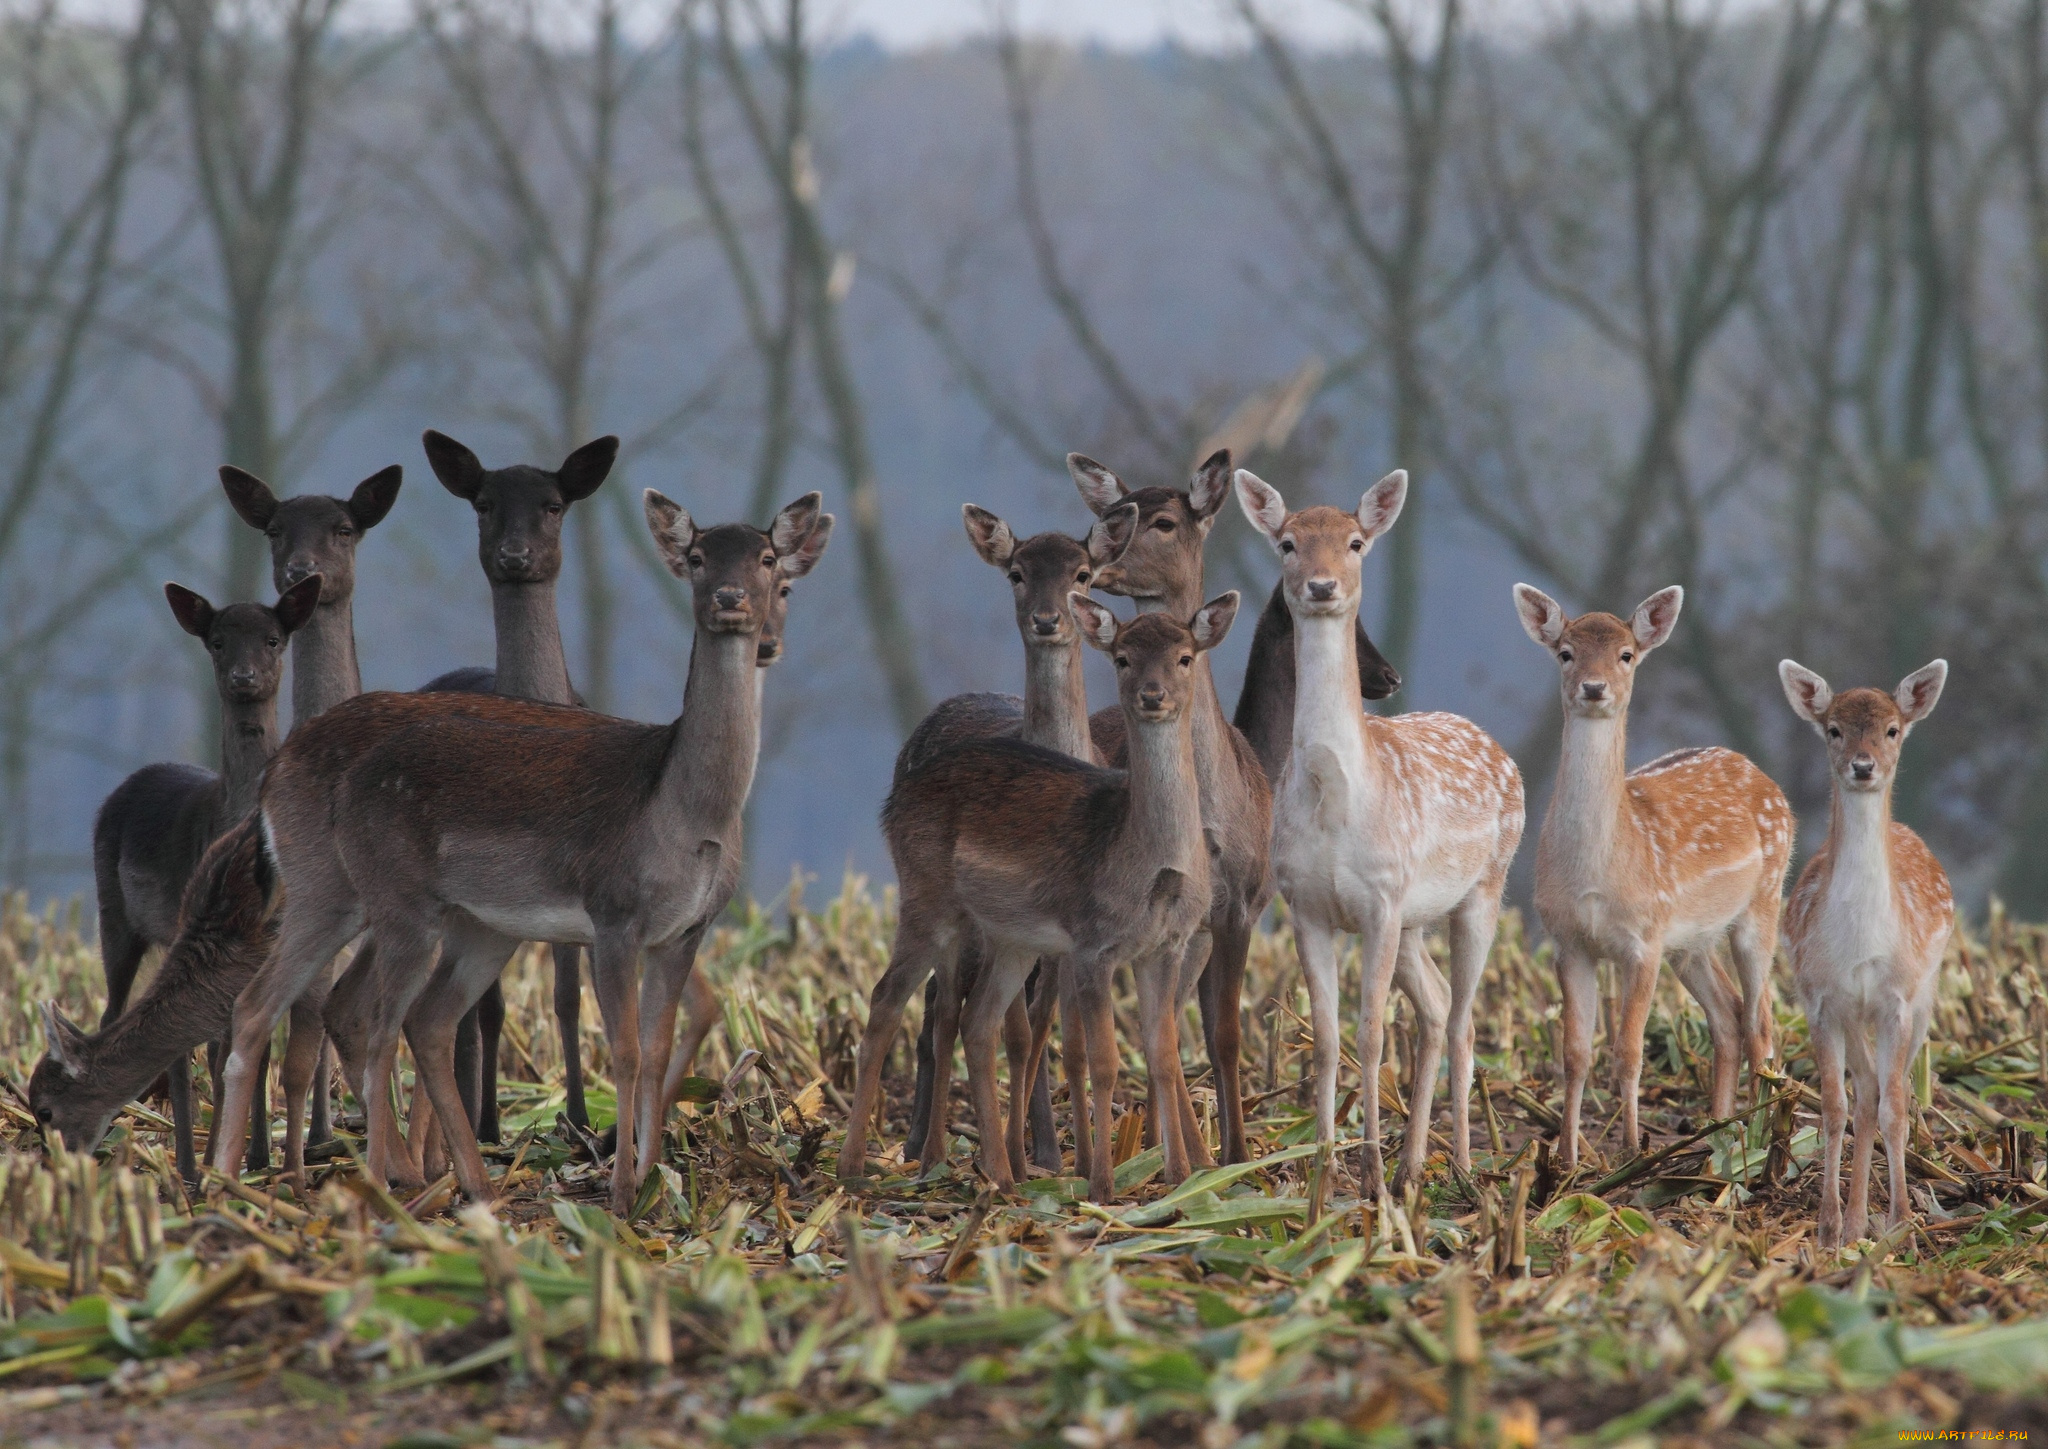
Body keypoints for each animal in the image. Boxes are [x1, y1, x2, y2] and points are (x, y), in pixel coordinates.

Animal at [201, 493, 823, 1219]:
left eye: (769, 560)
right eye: (697, 557)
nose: (730, 600)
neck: (684, 812)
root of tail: (276, 775)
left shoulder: (686, 930)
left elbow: (661, 1042)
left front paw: (655, 1182)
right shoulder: (613, 912)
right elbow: (625, 1050)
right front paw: (619, 1191)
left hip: (466, 923)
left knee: (412, 1018)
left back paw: (460, 1182)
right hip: (374, 895)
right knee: (329, 1014)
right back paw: (301, 1181)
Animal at [839, 589, 1236, 1203]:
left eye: (1185, 656)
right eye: (1123, 657)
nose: (1152, 695)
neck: (1150, 863)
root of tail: (893, 798)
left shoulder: (1164, 947)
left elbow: (1164, 1056)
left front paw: (1178, 1180)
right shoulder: (1094, 944)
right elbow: (1104, 1060)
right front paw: (1101, 1185)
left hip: (1012, 938)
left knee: (978, 1021)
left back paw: (1002, 1175)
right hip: (927, 899)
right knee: (885, 1001)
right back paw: (855, 1167)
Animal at [1228, 470, 1523, 1195]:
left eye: (1356, 541)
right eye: (1287, 542)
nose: (1322, 585)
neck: (1336, 801)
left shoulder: (1382, 899)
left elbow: (1370, 1034)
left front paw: (1370, 1177)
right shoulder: (1307, 905)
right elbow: (1327, 1036)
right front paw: (1325, 1170)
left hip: (1485, 888)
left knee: (1466, 1019)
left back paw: (1462, 1167)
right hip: (1417, 917)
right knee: (1438, 1005)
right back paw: (1416, 1161)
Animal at [1507, 577, 1794, 1162]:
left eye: (1626, 654)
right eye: (1565, 652)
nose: (1594, 687)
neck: (1598, 875)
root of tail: (1765, 779)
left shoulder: (1644, 939)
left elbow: (1628, 1050)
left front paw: (1632, 1149)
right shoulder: (1569, 940)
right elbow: (1575, 1053)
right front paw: (1568, 1157)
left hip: (1763, 903)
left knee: (1761, 1019)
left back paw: (1757, 1143)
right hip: (1690, 942)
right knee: (1728, 1015)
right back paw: (1718, 1131)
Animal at [1777, 654, 1949, 1244]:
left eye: (1892, 729)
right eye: (1834, 728)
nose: (1863, 765)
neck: (1859, 945)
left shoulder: (1897, 999)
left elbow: (1895, 1107)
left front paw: (1901, 1226)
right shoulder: (1821, 1000)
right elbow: (1835, 1107)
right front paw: (1830, 1226)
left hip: (1926, 998)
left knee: (1889, 1091)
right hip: (1852, 1015)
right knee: (1866, 1090)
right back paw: (1853, 1221)